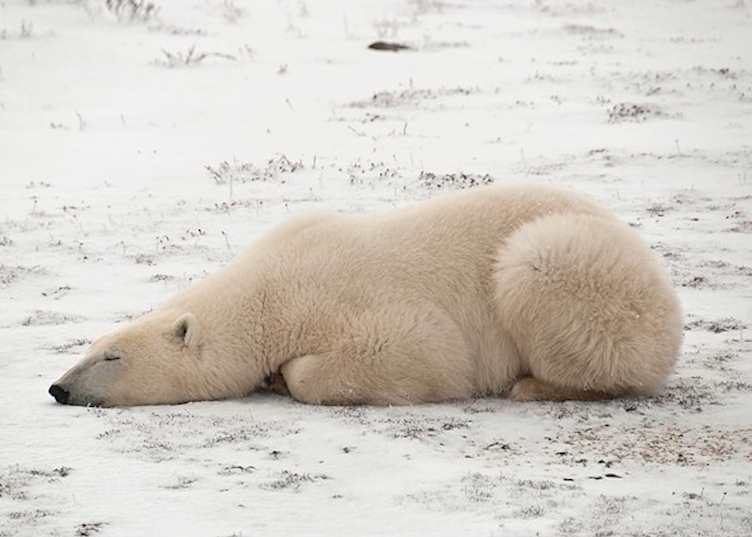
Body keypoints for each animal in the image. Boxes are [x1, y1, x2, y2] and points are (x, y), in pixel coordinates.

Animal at [48, 184, 683, 407]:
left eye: (112, 357)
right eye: (90, 346)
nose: (58, 388)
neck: (269, 290)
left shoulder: (357, 302)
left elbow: (425, 354)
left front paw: (285, 375)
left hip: (579, 274)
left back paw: (534, 385)